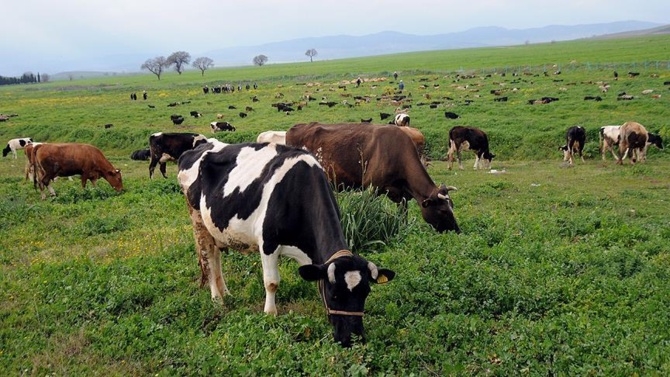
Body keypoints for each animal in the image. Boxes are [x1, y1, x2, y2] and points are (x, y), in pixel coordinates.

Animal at [178, 140, 400, 346]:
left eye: (366, 293)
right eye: (334, 294)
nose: (352, 339)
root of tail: (203, 146)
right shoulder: (268, 242)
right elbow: (271, 282)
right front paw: (270, 314)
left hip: (214, 227)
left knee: (216, 257)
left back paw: (226, 293)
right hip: (197, 219)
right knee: (208, 258)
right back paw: (217, 300)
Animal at [286, 122, 460, 232]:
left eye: (452, 205)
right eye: (443, 210)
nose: (457, 231)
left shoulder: (402, 195)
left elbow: (402, 216)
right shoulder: (371, 188)